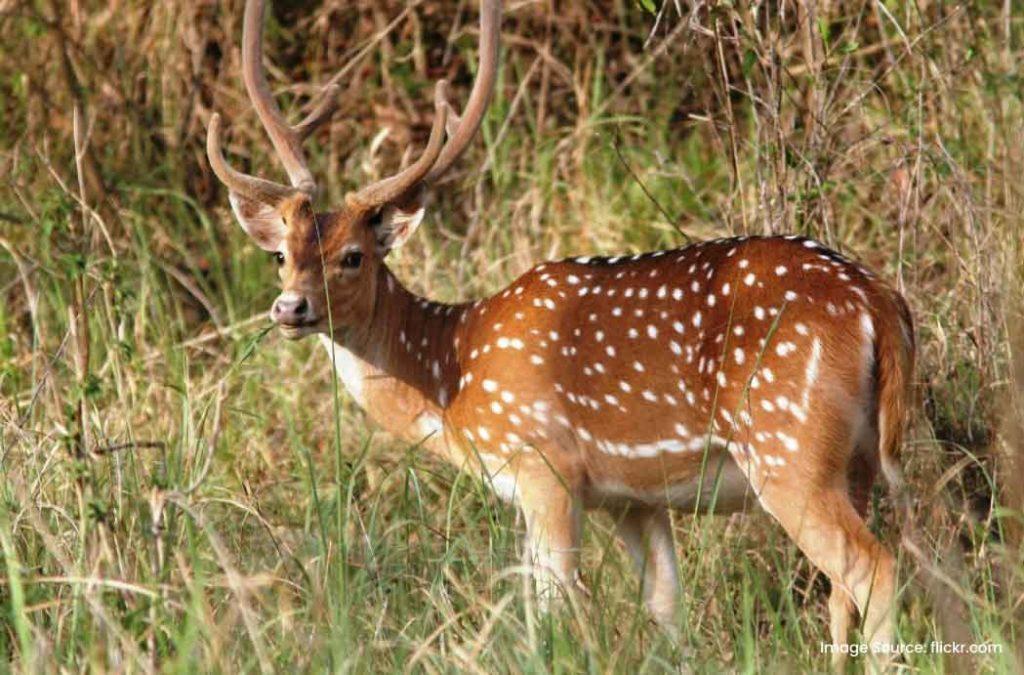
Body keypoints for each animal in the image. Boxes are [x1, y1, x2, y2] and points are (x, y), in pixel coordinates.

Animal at [205, 0, 913, 663]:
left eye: (353, 255)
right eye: (281, 254)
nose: (290, 308)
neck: (453, 374)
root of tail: (878, 302)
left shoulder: (544, 464)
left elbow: (549, 610)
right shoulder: (632, 497)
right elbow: (666, 608)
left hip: (786, 447)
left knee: (873, 567)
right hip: (855, 460)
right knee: (844, 587)